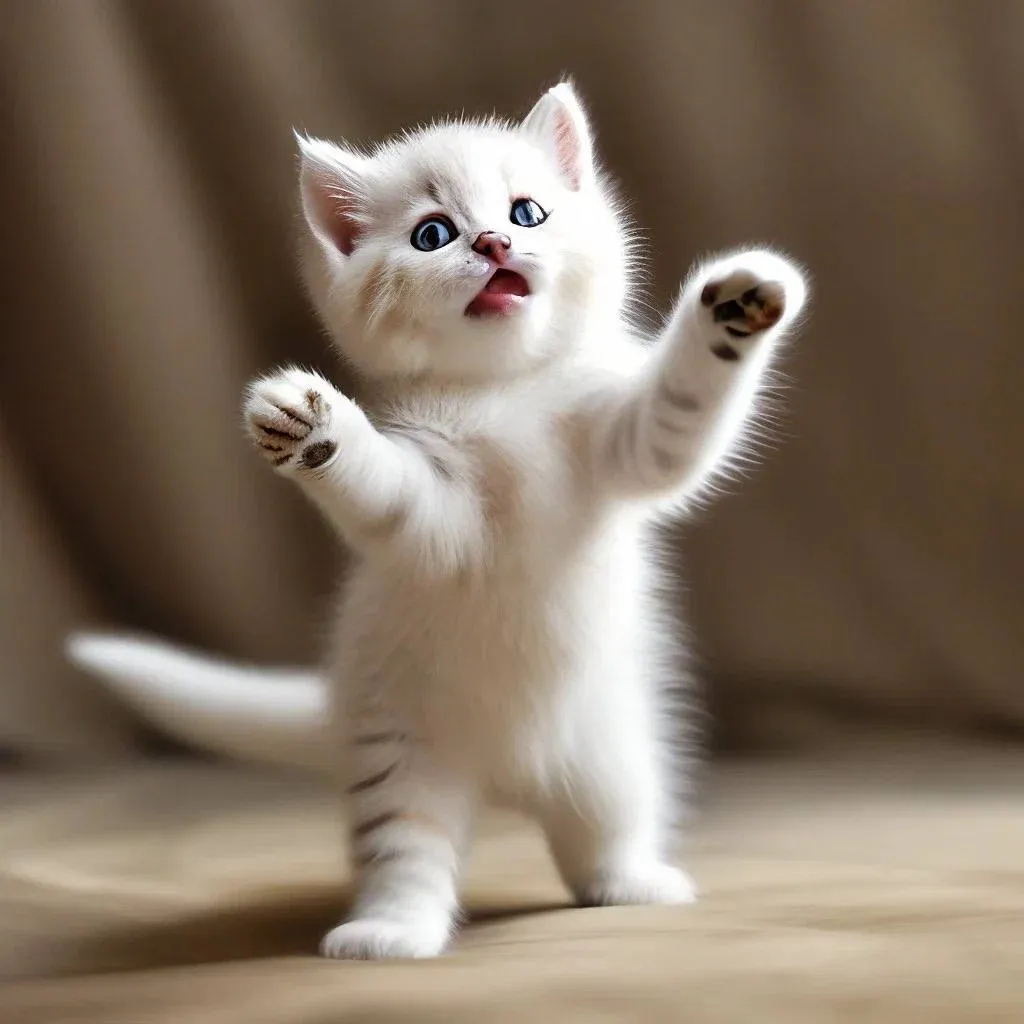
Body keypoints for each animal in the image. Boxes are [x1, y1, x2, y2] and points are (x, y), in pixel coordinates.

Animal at [70, 81, 806, 958]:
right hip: (401, 757)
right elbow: (391, 494)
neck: (502, 393)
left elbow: (678, 418)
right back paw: (389, 932)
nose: (492, 242)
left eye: (527, 212)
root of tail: (506, 777)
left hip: (613, 754)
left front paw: (732, 308)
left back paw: (631, 884)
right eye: (433, 233)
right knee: (408, 851)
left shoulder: (618, 442)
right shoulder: (438, 525)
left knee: (605, 833)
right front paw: (311, 426)